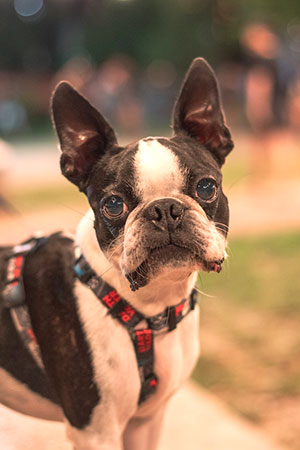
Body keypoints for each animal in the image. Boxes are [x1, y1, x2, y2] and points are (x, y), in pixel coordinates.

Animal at [0, 59, 234, 450]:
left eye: (206, 187)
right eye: (113, 205)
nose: (165, 209)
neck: (150, 311)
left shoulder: (147, 421)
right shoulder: (97, 431)